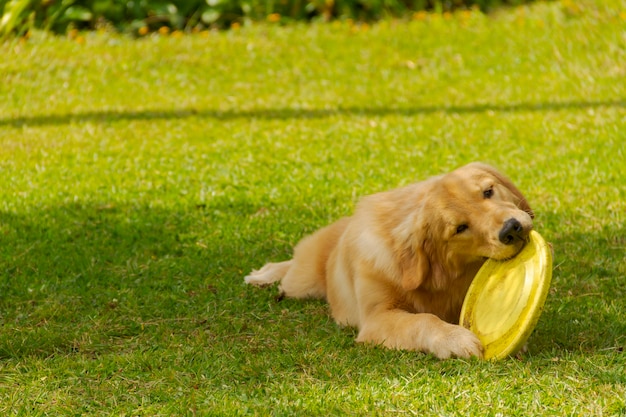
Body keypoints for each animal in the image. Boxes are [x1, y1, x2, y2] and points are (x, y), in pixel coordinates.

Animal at [244, 162, 532, 358]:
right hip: (302, 282)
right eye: (460, 228)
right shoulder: (377, 318)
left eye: (488, 191)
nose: (511, 229)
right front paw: (453, 339)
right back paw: (262, 274)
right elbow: (423, 320)